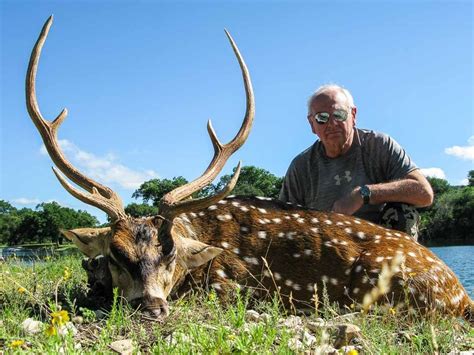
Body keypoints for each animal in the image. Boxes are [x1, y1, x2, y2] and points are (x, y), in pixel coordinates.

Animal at [27, 17, 472, 322]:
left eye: (170, 252)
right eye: (116, 254)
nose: (150, 306)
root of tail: (461, 295)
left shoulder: (233, 285)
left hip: (384, 281)